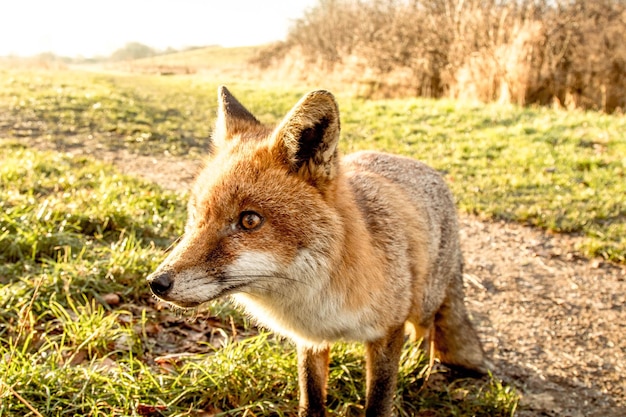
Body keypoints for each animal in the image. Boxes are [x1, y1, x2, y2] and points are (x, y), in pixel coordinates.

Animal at [145, 86, 482, 414]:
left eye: (249, 220)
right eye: (195, 214)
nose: (156, 283)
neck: (320, 297)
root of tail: (430, 172)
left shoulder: (387, 331)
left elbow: (378, 401)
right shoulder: (310, 339)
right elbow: (312, 396)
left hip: (423, 303)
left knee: (427, 332)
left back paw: (418, 368)